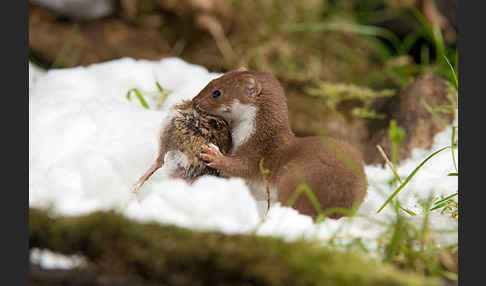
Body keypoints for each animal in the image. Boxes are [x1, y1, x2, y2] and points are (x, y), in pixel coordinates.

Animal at [192, 68, 366, 220]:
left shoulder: (257, 153)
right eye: (212, 80)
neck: (247, 135)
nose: (194, 101)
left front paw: (213, 154)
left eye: (217, 93)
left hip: (295, 178)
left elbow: (240, 167)